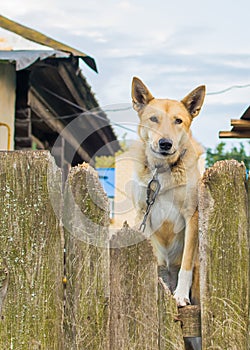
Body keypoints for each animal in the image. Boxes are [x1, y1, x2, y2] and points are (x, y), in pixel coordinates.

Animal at [131, 78, 205, 308]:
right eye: (153, 119)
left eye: (178, 121)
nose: (165, 144)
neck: (162, 170)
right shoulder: (143, 215)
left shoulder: (191, 215)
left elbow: (186, 264)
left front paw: (180, 295)